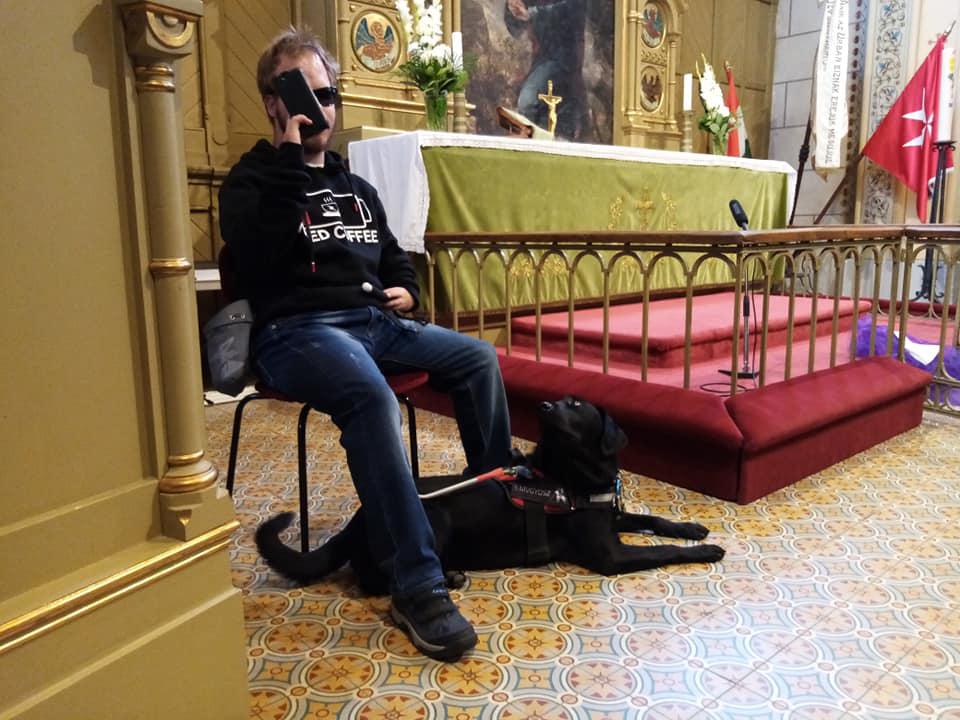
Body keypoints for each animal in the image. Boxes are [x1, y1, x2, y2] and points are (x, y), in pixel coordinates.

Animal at [255, 396, 725, 594]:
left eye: (575, 404)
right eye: (560, 402)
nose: (543, 405)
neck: (576, 476)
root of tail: (357, 520)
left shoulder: (612, 516)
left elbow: (655, 520)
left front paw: (693, 527)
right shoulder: (610, 555)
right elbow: (663, 551)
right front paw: (708, 550)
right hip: (434, 521)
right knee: (377, 578)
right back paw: (446, 578)